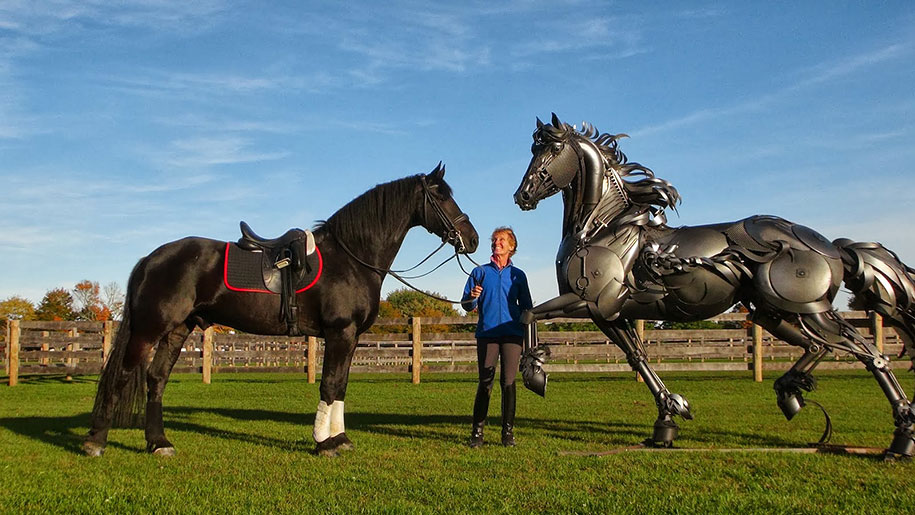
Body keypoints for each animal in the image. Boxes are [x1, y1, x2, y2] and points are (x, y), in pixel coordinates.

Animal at [84, 164, 480, 456]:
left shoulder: (350, 337)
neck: (351, 258)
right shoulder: (340, 332)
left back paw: (159, 443)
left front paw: (340, 438)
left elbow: (341, 385)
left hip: (178, 329)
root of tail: (151, 258)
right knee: (123, 375)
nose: (472, 239)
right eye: (441, 196)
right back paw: (96, 441)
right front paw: (324, 443)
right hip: (149, 329)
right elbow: (330, 384)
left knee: (156, 379)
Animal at [516, 115, 915, 458]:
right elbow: (638, 358)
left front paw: (535, 377)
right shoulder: (611, 315)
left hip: (808, 308)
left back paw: (901, 439)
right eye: (533, 149)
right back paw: (790, 394)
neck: (602, 228)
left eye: (552, 149)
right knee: (819, 348)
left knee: (868, 353)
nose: (523, 196)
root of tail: (831, 245)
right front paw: (669, 418)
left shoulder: (590, 302)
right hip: (772, 313)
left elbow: (528, 314)